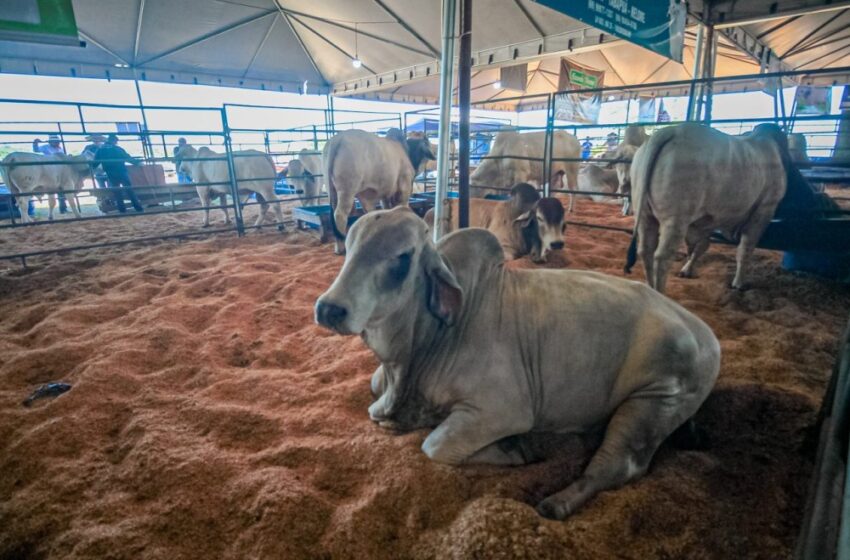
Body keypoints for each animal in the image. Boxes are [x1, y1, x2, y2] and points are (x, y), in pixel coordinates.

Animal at [314, 208, 720, 520]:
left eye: (402, 256)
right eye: (349, 246)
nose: (330, 308)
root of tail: (705, 333)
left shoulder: (501, 410)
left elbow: (435, 445)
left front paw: (514, 450)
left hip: (653, 402)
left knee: (619, 466)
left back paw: (556, 502)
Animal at [624, 123, 788, 294]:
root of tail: (668, 131)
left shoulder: (707, 220)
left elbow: (702, 246)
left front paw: (687, 270)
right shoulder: (764, 209)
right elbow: (745, 250)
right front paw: (738, 283)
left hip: (644, 214)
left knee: (646, 251)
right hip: (676, 218)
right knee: (662, 257)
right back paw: (660, 292)